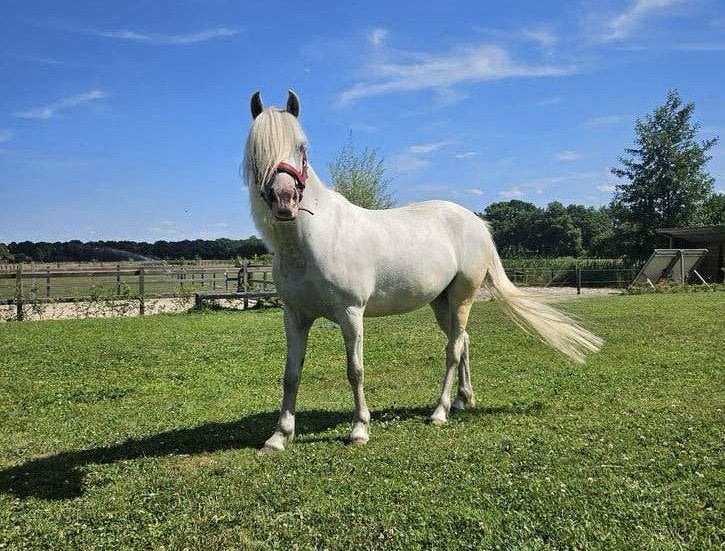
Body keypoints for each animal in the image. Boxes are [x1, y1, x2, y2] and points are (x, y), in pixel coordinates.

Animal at [243, 90, 602, 452]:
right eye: (256, 151)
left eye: (302, 147)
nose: (284, 200)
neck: (314, 240)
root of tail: (477, 223)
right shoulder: (295, 317)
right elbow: (291, 375)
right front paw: (279, 436)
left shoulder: (351, 313)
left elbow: (355, 370)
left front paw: (359, 429)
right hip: (441, 303)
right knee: (463, 340)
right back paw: (462, 399)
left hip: (462, 298)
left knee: (453, 350)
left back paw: (440, 412)